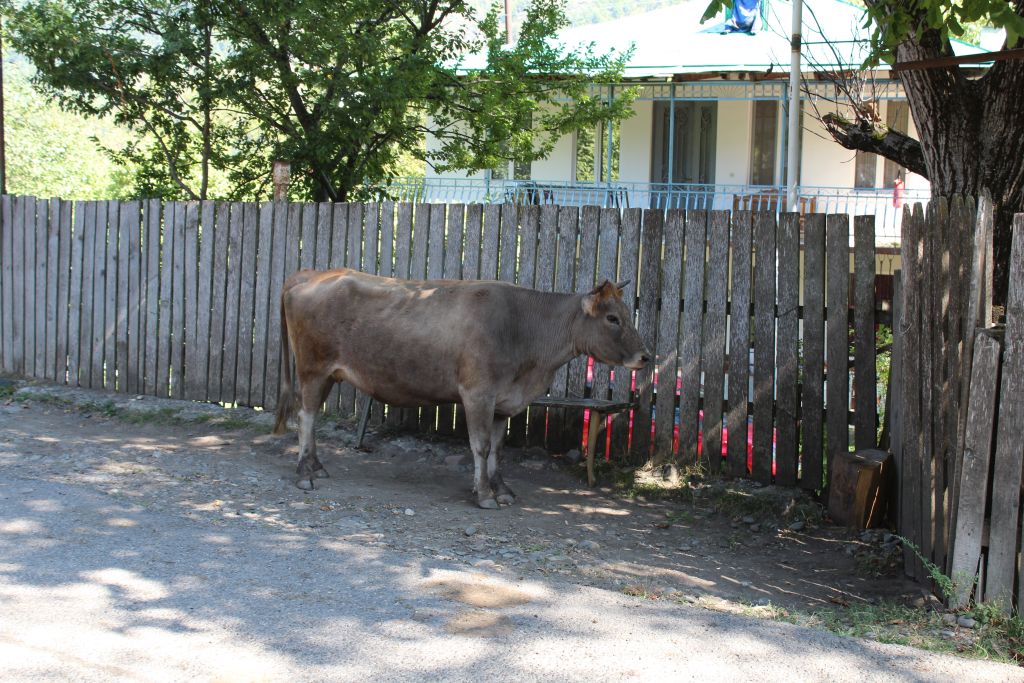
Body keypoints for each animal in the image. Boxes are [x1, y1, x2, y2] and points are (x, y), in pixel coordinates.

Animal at [274, 270, 647, 509]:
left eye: (627, 314)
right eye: (612, 318)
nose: (645, 356)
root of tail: (311, 274)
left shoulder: (503, 401)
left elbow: (497, 449)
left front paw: (502, 490)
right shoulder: (477, 393)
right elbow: (480, 447)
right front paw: (483, 495)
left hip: (327, 374)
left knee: (310, 417)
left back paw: (317, 466)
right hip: (312, 369)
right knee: (305, 416)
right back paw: (305, 473)